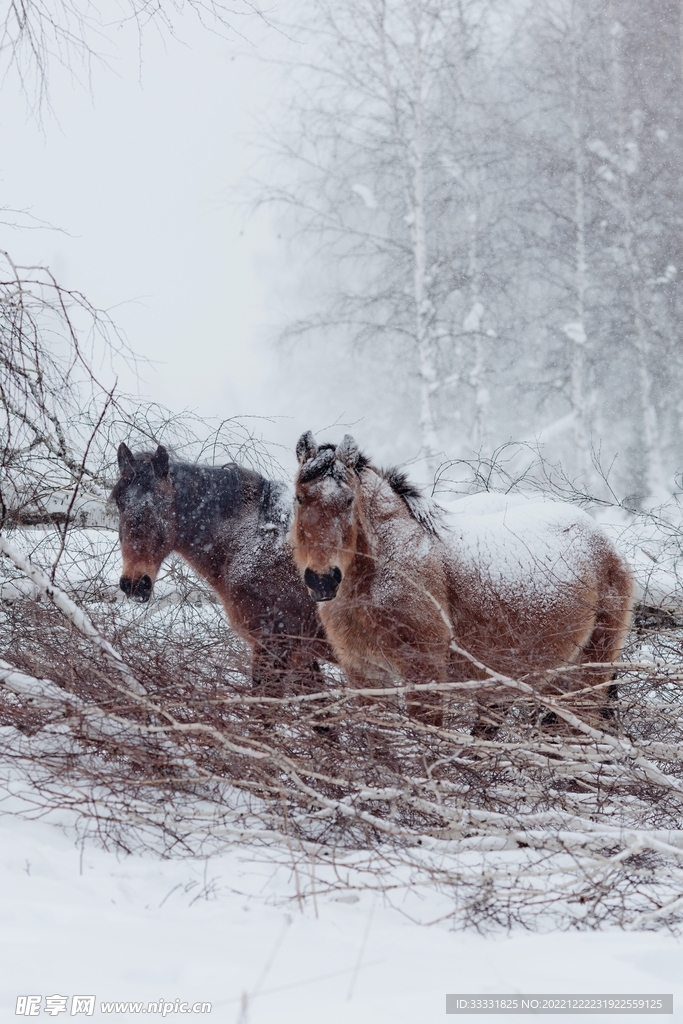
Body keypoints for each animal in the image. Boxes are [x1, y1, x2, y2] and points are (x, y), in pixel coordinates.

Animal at [112, 442, 333, 698]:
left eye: (161, 503)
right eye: (119, 502)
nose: (134, 583)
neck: (249, 541)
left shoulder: (274, 646)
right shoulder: (302, 655)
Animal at [291, 431, 634, 732]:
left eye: (349, 500)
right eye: (299, 498)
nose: (323, 580)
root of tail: (606, 543)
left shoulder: (425, 673)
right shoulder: (364, 673)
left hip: (586, 676)